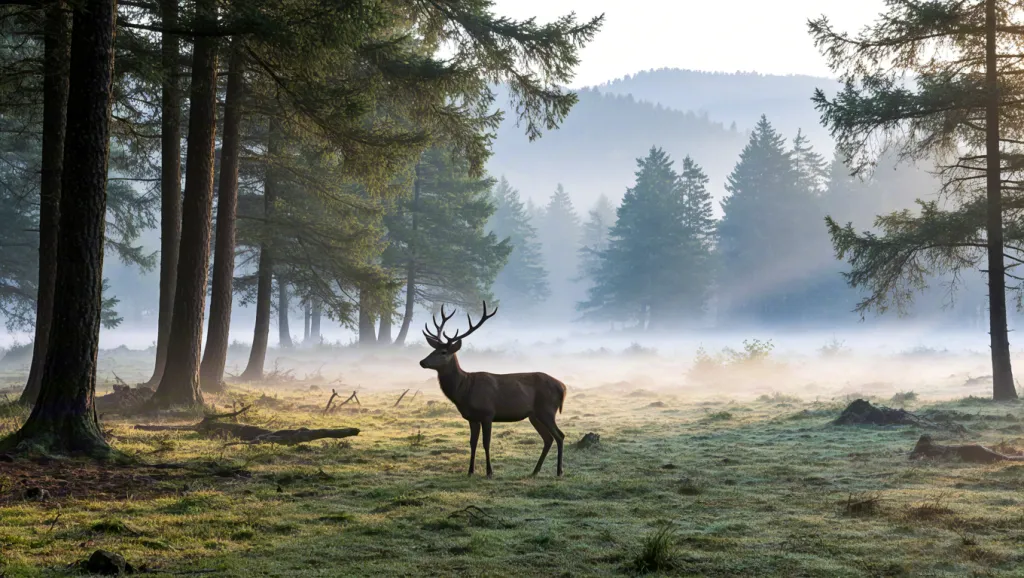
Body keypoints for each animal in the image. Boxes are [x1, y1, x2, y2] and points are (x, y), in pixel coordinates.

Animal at [419, 301, 567, 478]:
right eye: (432, 350)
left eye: (443, 352)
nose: (422, 362)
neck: (464, 390)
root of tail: (563, 387)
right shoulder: (472, 418)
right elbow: (472, 443)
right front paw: (470, 471)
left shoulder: (488, 413)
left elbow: (486, 443)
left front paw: (489, 472)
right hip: (534, 415)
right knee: (548, 438)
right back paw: (535, 471)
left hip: (547, 409)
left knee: (560, 435)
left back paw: (559, 471)